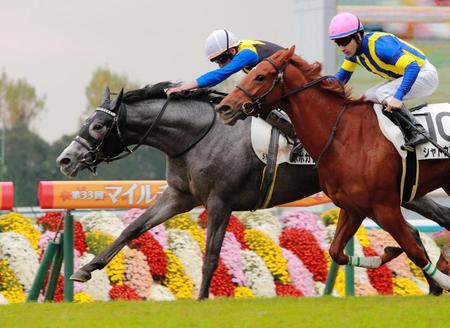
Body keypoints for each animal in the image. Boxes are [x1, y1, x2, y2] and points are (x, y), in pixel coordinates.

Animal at [57, 82, 450, 300]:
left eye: (98, 125)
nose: (65, 159)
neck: (197, 135)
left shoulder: (220, 202)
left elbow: (211, 254)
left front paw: (202, 297)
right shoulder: (179, 196)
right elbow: (132, 229)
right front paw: (85, 270)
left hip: (393, 193)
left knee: (425, 227)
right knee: (416, 232)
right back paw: (432, 285)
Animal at [215, 46, 450, 290]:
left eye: (260, 76)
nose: (224, 107)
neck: (344, 136)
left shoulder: (386, 207)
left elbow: (414, 252)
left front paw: (444, 280)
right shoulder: (353, 207)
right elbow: (336, 251)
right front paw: (388, 253)